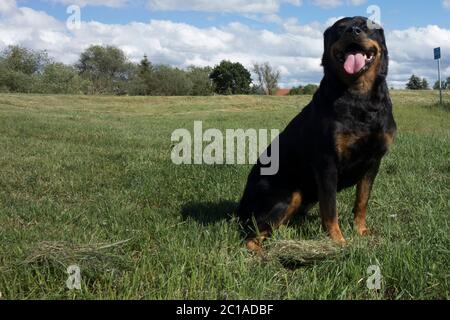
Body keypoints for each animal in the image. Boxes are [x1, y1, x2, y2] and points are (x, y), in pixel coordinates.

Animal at [237, 16, 396, 252]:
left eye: (367, 26)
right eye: (340, 29)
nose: (353, 31)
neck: (359, 96)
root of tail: (240, 207)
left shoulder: (373, 161)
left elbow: (362, 201)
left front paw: (361, 230)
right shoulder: (327, 163)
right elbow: (330, 209)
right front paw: (338, 241)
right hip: (288, 195)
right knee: (251, 236)